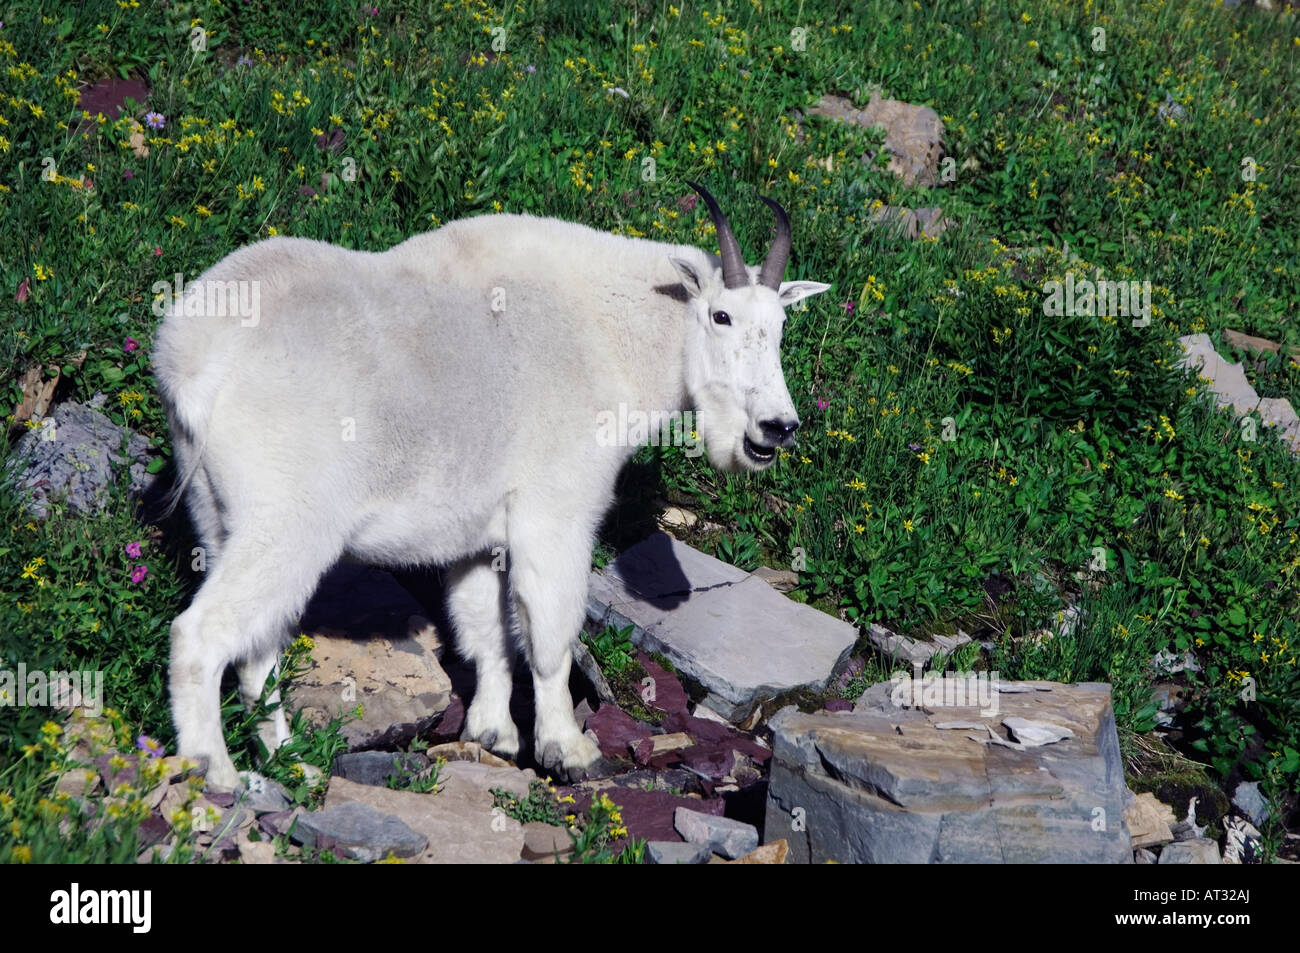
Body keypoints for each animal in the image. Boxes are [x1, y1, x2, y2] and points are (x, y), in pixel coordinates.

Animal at [149, 180, 821, 790]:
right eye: (721, 315)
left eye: (781, 326)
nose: (777, 427)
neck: (606, 335)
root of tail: (193, 359)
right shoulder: (555, 513)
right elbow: (547, 634)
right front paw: (567, 749)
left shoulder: (477, 536)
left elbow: (488, 633)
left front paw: (493, 733)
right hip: (287, 521)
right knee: (201, 634)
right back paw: (216, 772)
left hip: (216, 514)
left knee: (257, 651)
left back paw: (293, 764)